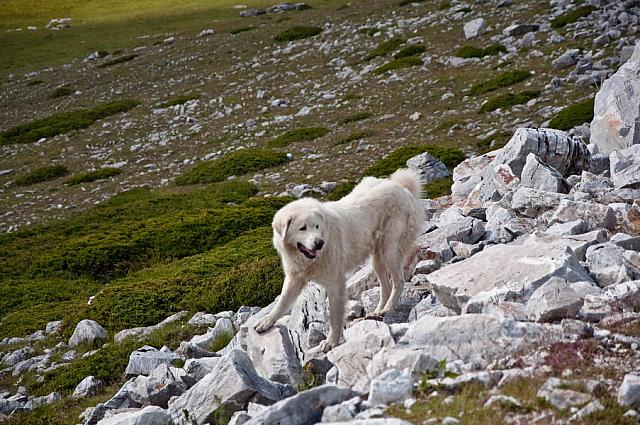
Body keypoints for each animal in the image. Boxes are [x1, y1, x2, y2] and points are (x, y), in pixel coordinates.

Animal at [254, 169, 424, 352]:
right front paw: (266, 321)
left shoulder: (335, 282)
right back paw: (378, 310)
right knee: (386, 286)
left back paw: (388, 308)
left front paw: (331, 342)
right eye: (302, 228)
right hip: (377, 258)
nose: (319, 243)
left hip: (389, 250)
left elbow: (335, 317)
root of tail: (401, 186)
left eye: (316, 226)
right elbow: (282, 302)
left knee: (399, 281)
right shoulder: (295, 278)